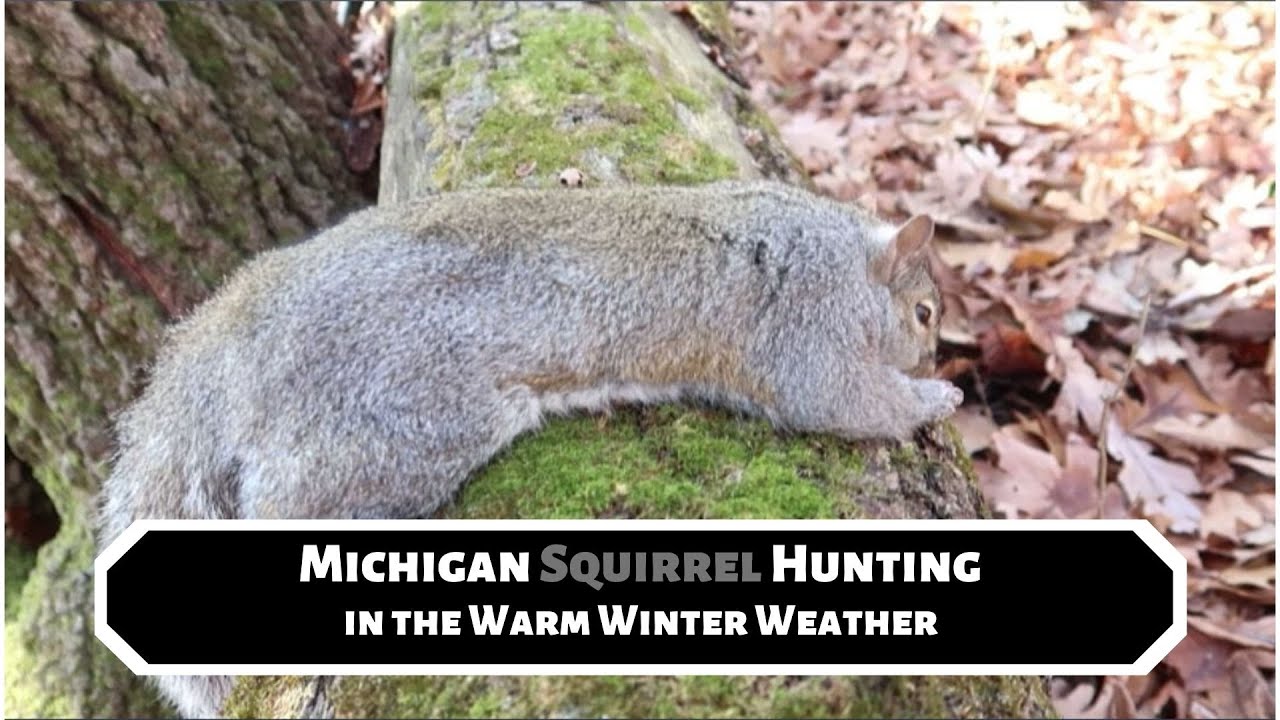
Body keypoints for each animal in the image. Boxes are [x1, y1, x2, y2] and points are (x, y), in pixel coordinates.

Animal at [96, 180, 961, 718]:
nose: (930, 357)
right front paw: (932, 399)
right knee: (290, 503)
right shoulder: (806, 319)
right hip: (393, 427)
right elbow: (842, 399)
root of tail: (246, 329)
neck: (846, 255)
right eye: (924, 312)